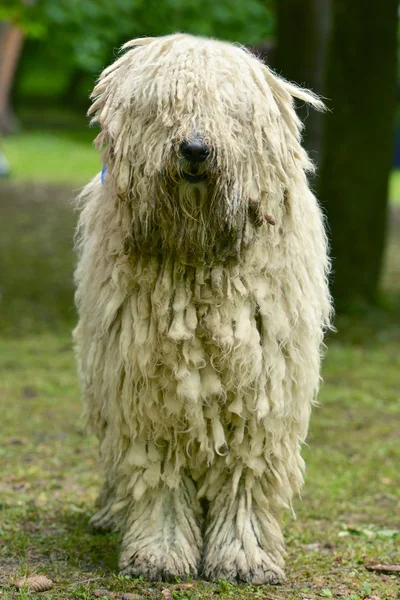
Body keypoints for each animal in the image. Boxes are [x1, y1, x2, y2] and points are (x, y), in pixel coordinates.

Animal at [73, 34, 332, 584]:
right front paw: (159, 552)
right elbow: (159, 476)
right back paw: (110, 513)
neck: (197, 256)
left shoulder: (261, 395)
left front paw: (245, 557)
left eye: (230, 108)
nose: (194, 148)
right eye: (162, 106)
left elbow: (245, 477)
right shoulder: (151, 394)